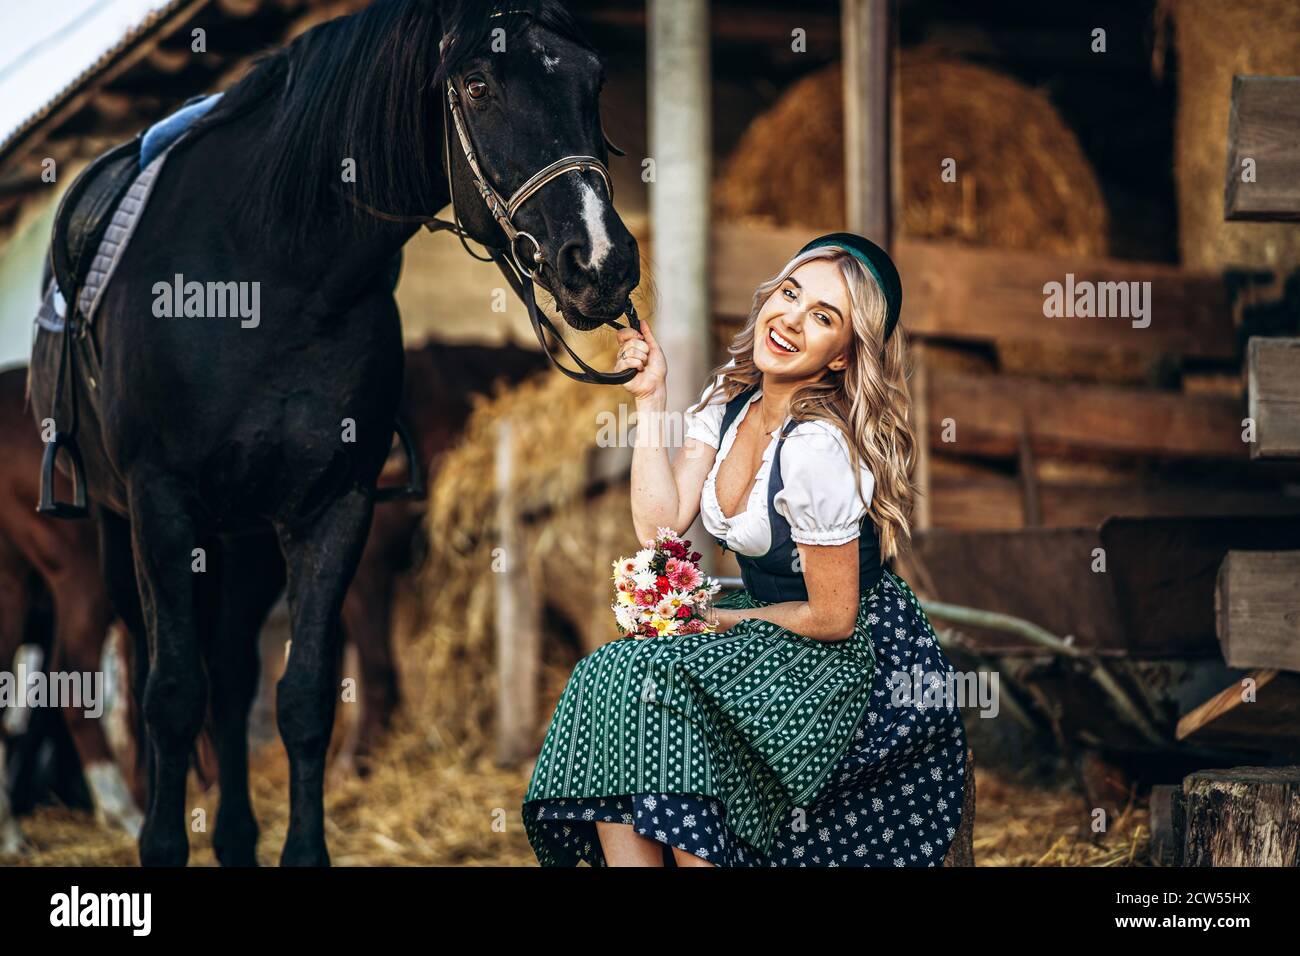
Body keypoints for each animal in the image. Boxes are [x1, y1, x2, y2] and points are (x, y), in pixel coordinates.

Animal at [30, 0, 639, 868]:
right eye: (477, 84)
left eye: (593, 78)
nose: (602, 264)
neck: (268, 275)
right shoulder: (162, 504)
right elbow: (172, 693)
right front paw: (163, 846)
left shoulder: (333, 509)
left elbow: (307, 696)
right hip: (125, 536)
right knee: (154, 665)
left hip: (245, 541)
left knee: (233, 677)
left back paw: (236, 839)